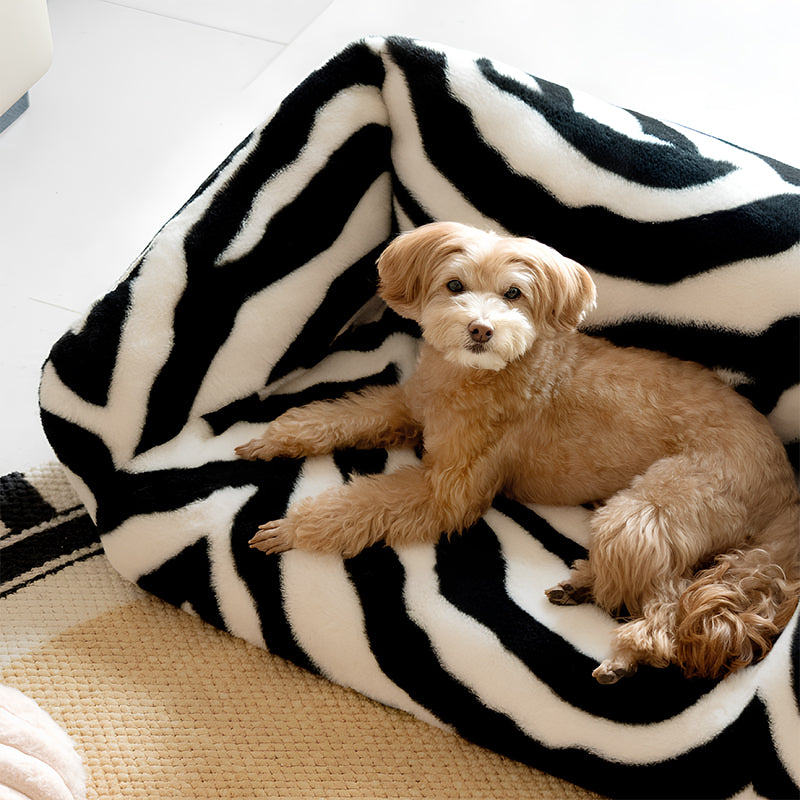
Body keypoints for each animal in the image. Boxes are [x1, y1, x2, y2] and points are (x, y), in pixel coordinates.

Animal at [238, 222, 800, 684]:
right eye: (454, 286)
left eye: (514, 293)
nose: (480, 328)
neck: (476, 375)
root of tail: (785, 485)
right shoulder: (408, 407)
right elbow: (343, 414)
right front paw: (273, 440)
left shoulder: (448, 491)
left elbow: (359, 503)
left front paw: (291, 528)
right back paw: (583, 585)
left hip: (647, 512)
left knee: (667, 600)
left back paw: (628, 653)